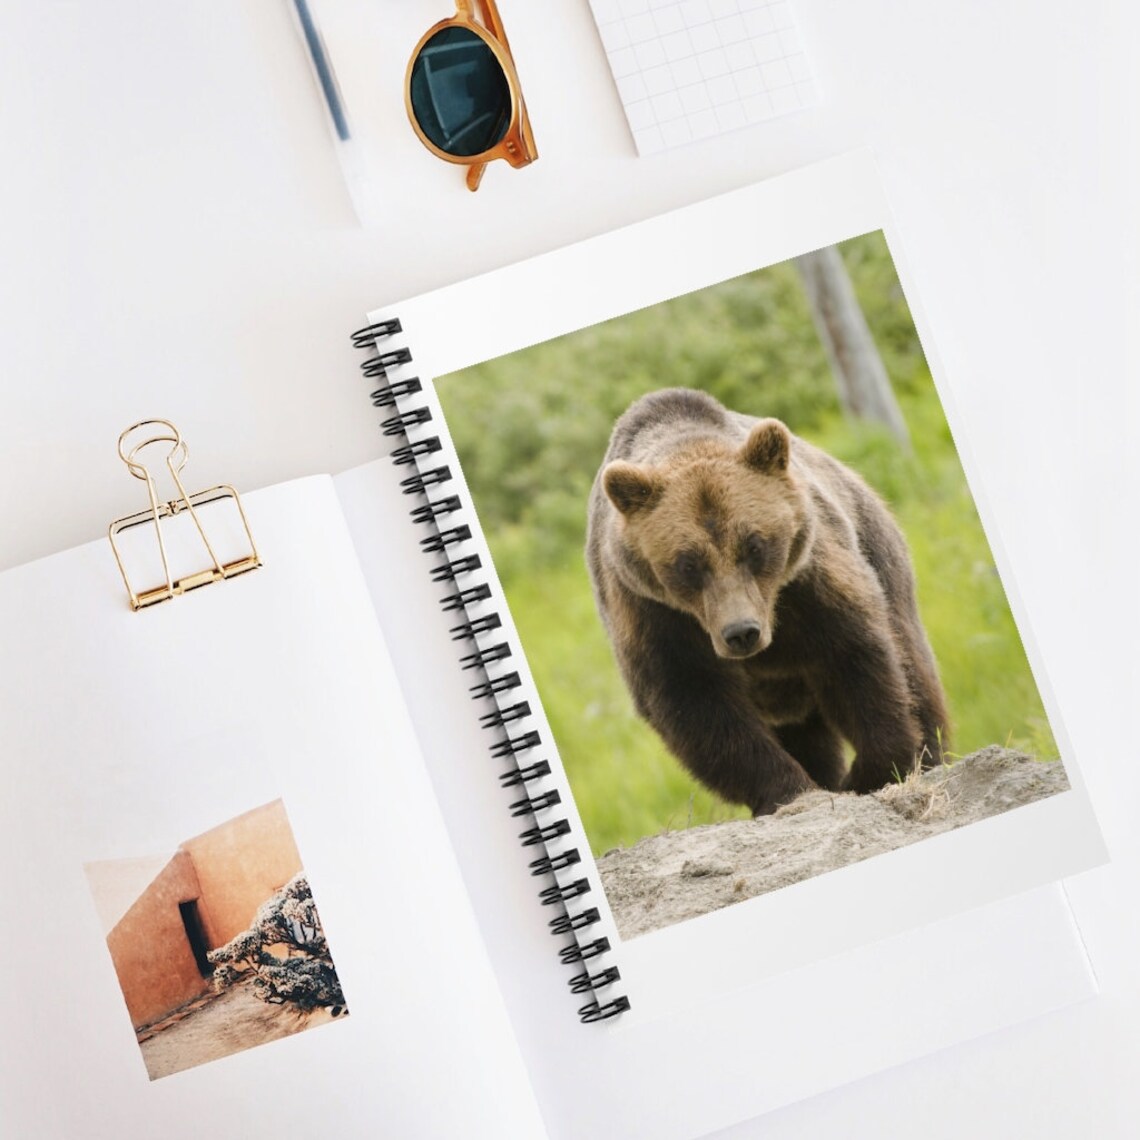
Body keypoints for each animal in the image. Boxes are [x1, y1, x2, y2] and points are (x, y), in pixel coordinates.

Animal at [585, 387, 949, 817]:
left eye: (754, 545)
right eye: (688, 564)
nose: (741, 632)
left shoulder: (807, 582)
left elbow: (856, 658)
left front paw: (874, 772)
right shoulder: (653, 613)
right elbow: (696, 703)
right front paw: (790, 789)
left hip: (878, 550)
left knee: (913, 665)